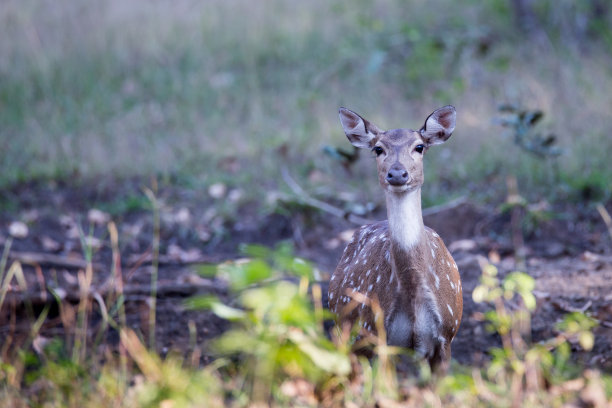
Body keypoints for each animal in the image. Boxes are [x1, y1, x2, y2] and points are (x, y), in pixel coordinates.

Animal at [330, 106, 464, 372]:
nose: (397, 173)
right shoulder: (377, 333)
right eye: (378, 149)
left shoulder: (447, 333)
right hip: (347, 330)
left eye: (419, 146)